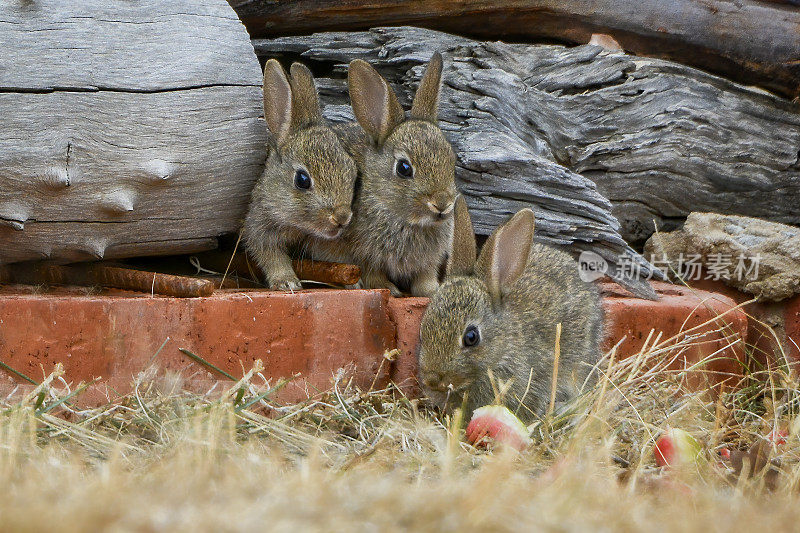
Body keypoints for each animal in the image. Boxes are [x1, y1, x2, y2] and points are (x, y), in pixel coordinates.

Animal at [244, 60, 356, 290]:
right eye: (302, 180)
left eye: (351, 168)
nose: (342, 217)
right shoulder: (261, 226)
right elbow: (271, 256)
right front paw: (287, 283)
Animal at [304, 53, 456, 296]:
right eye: (404, 168)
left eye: (453, 161)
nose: (442, 204)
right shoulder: (364, 255)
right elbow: (372, 274)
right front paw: (389, 289)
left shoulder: (427, 263)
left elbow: (424, 279)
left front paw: (433, 291)